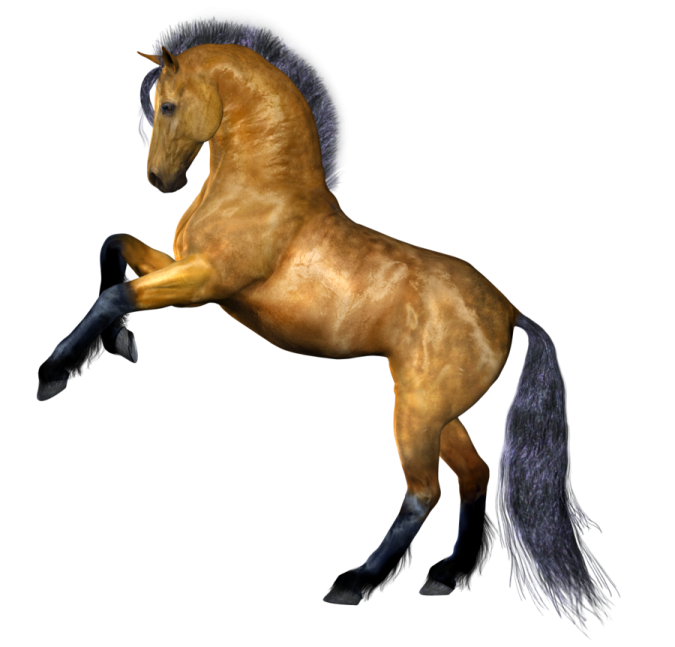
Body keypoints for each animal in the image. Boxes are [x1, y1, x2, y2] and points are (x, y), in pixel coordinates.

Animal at [36, 21, 619, 638]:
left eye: (166, 105)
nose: (158, 179)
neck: (264, 189)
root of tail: (509, 310)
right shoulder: (186, 269)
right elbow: (114, 247)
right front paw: (123, 345)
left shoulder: (210, 282)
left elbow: (113, 295)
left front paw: (52, 377)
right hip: (438, 412)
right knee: (476, 477)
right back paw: (444, 578)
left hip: (416, 412)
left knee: (424, 493)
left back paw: (351, 585)